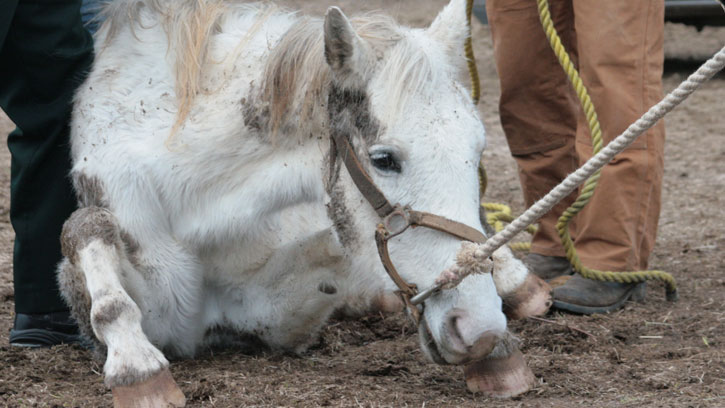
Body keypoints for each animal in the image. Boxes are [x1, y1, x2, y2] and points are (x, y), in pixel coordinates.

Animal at [59, 0, 551, 405]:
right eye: (384, 159)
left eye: (478, 149)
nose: (478, 327)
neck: (195, 204)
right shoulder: (176, 316)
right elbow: (87, 231)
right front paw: (135, 366)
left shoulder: (271, 313)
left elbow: (332, 247)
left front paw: (500, 348)